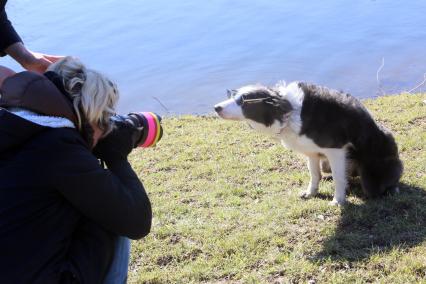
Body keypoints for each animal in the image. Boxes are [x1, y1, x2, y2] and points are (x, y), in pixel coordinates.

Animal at [213, 81, 402, 205]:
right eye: (233, 95)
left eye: (243, 100)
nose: (216, 107)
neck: (288, 113)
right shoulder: (311, 152)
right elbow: (314, 174)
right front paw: (311, 192)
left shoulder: (335, 150)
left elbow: (339, 178)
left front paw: (338, 200)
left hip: (372, 177)